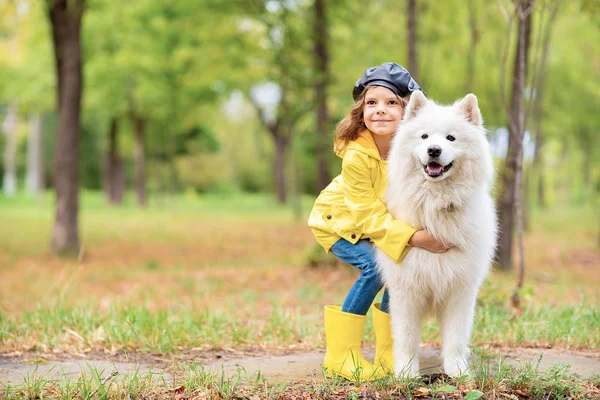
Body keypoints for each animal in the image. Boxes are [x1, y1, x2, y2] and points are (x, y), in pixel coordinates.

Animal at [378, 90, 500, 378]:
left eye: (450, 138)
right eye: (424, 137)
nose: (434, 150)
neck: (435, 205)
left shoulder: (461, 289)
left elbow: (455, 337)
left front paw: (457, 371)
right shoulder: (406, 290)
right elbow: (406, 337)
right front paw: (406, 373)